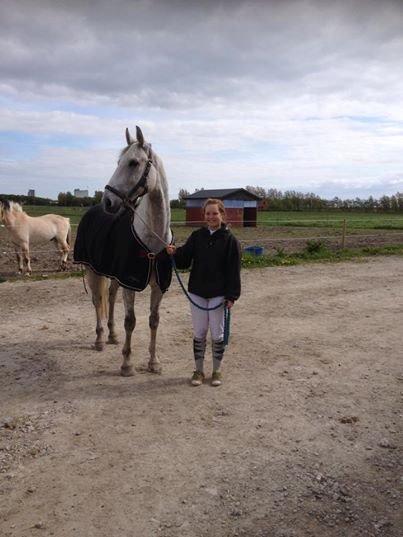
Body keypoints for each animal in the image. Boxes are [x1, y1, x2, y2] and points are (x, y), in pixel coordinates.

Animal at [74, 127, 172, 374]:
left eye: (133, 162)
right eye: (118, 162)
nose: (108, 201)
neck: (152, 237)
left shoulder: (158, 286)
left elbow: (153, 320)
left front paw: (154, 362)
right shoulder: (130, 283)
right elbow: (131, 321)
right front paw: (127, 364)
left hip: (113, 276)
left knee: (109, 296)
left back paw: (112, 335)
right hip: (92, 270)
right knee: (97, 301)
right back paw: (100, 339)